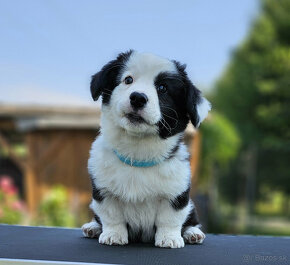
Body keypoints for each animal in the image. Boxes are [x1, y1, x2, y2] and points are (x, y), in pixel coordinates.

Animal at [81, 50, 211, 248]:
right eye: (128, 80)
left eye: (163, 88)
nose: (137, 98)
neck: (138, 152)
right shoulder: (104, 191)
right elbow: (112, 215)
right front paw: (113, 235)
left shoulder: (176, 194)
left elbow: (170, 218)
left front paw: (169, 238)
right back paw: (93, 228)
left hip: (190, 205)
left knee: (191, 219)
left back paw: (192, 233)